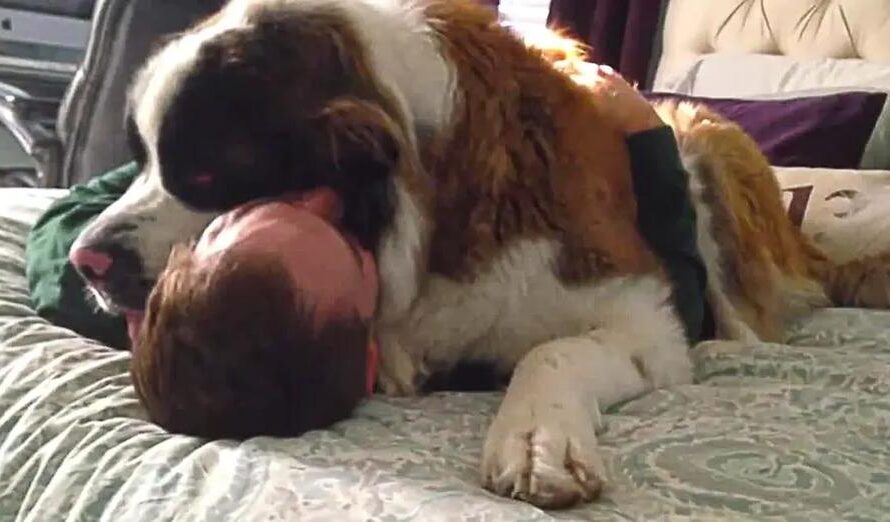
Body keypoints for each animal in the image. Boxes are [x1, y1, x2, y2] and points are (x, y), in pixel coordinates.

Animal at [69, 0, 888, 506]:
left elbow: (555, 350)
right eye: (139, 159)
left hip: (701, 138)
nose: (86, 260)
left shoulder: (639, 313)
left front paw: (537, 440)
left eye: (205, 176)